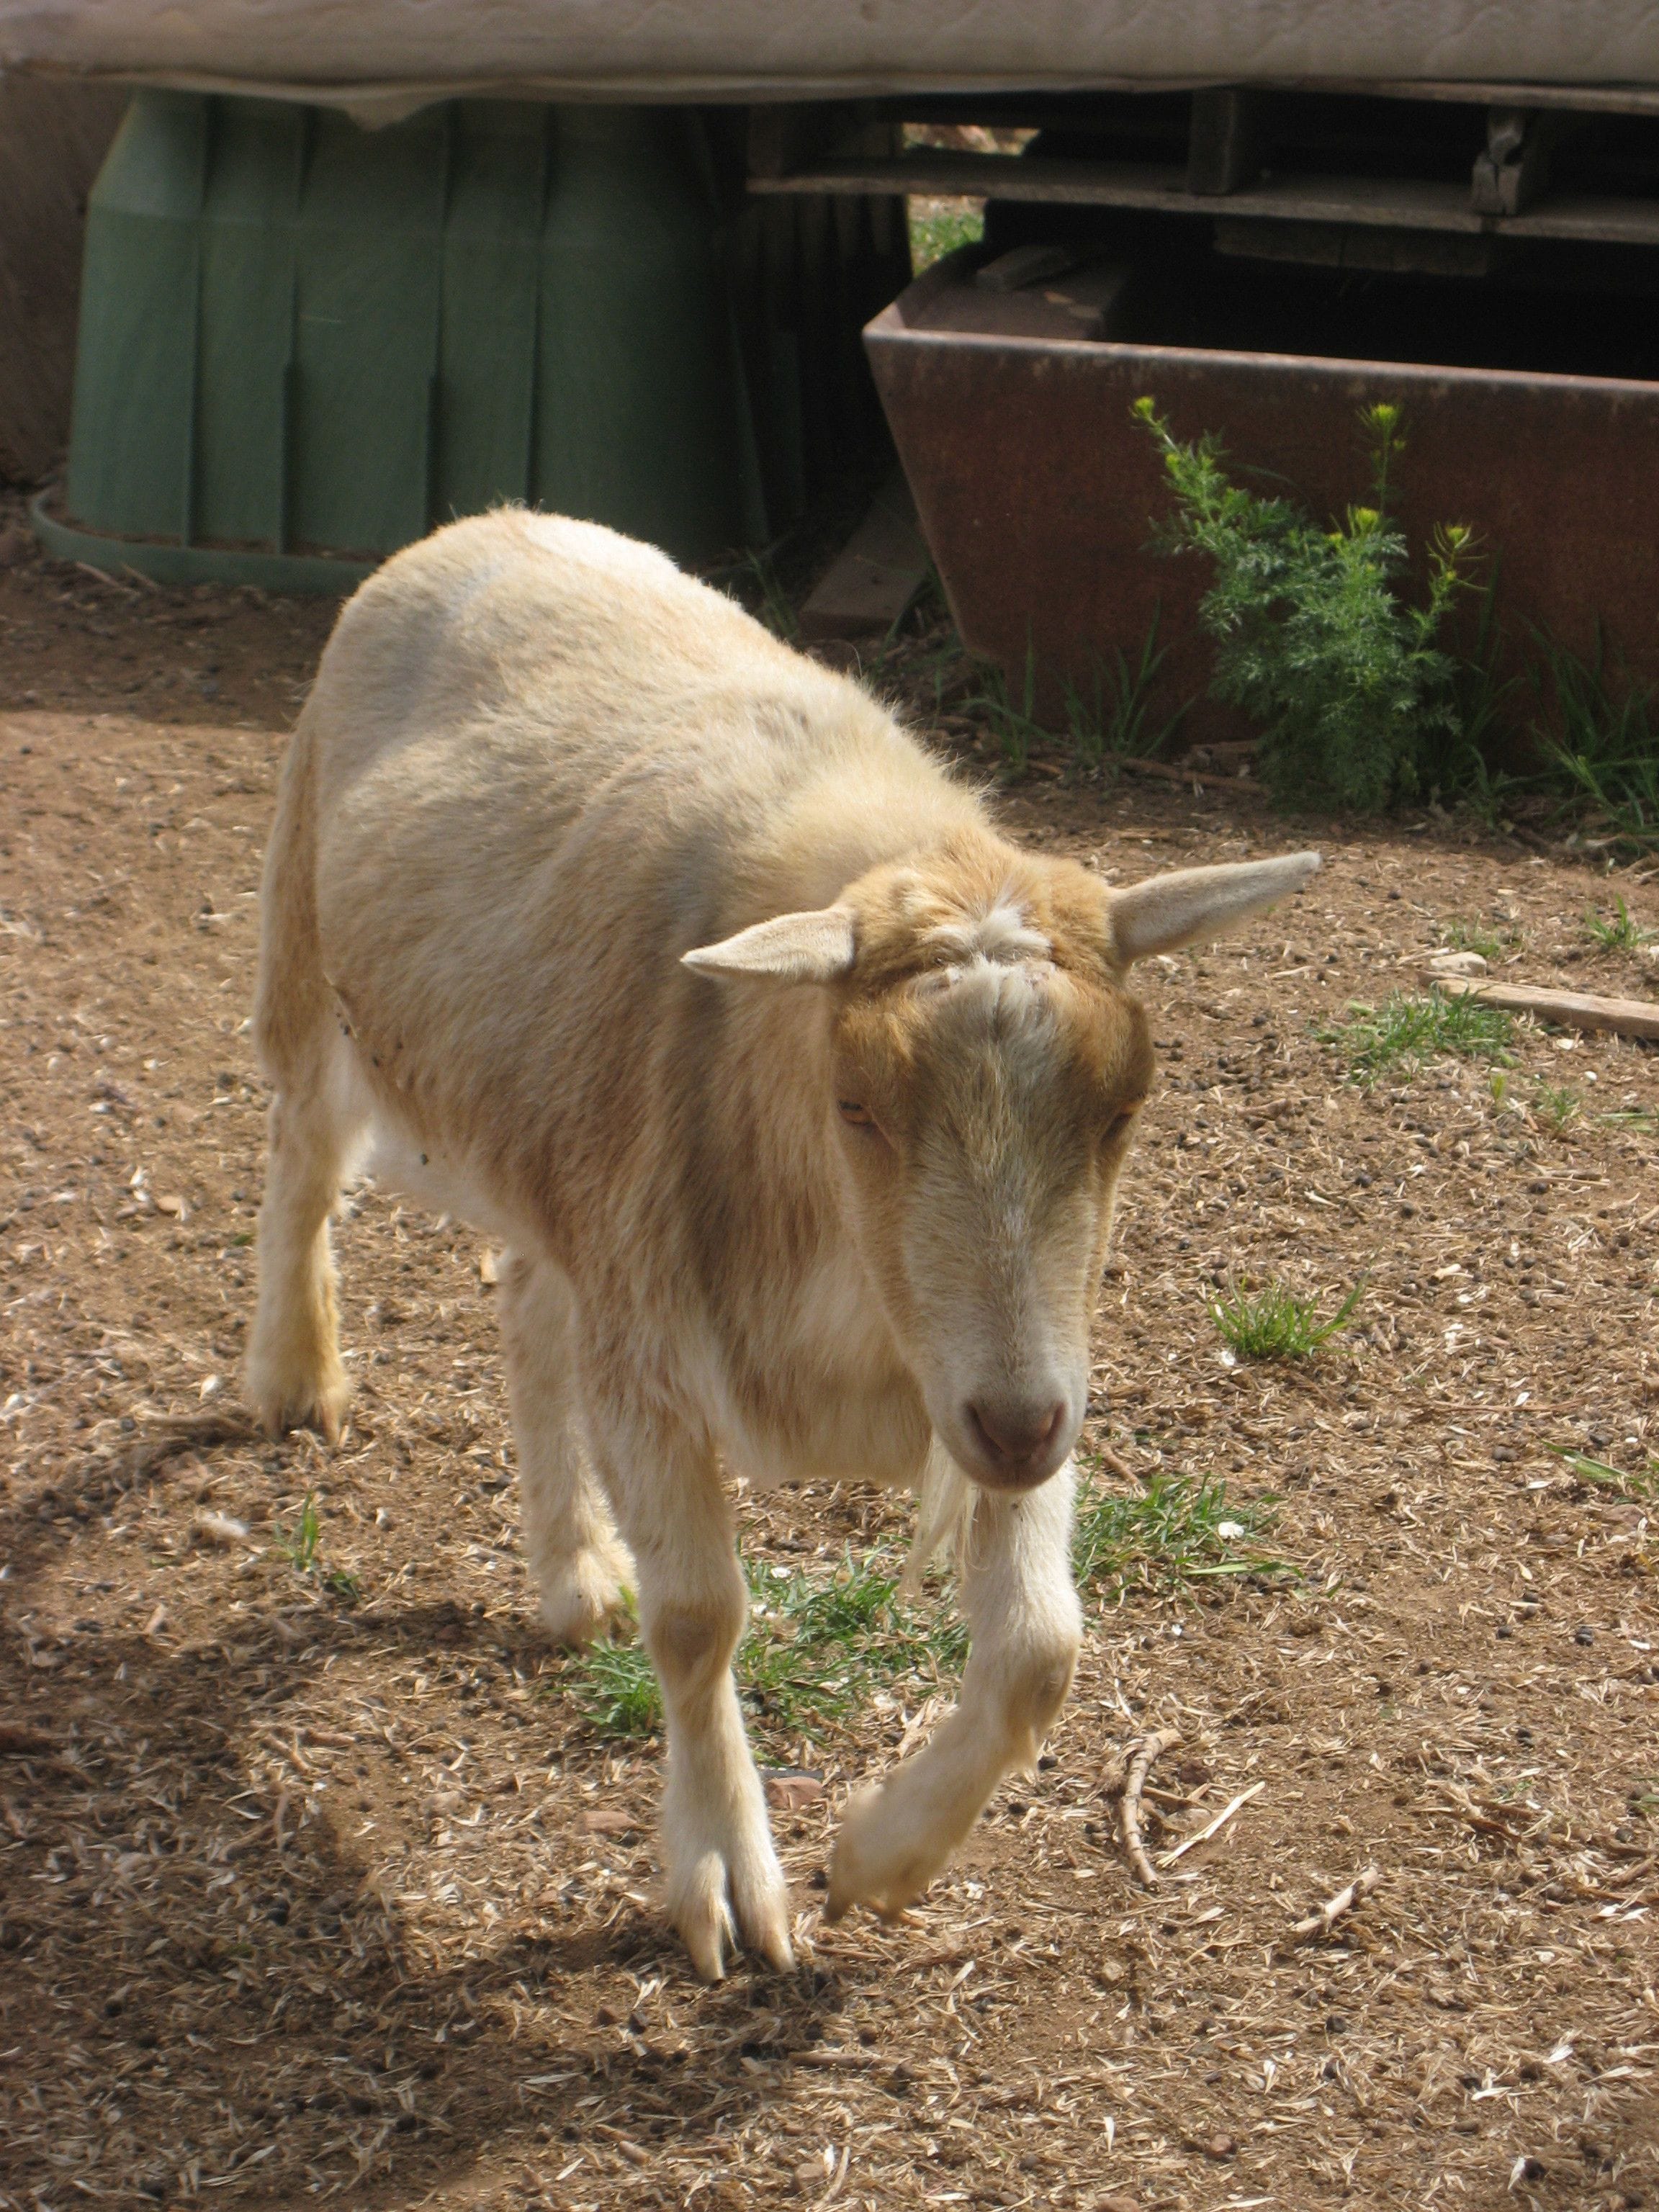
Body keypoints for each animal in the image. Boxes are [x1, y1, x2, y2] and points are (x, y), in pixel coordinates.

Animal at [247, 507, 1318, 1978]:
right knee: (302, 1157)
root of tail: (496, 522)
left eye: (1124, 1110)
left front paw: (879, 1857)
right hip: (307, 947)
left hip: (556, 1166)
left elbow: (1039, 1648)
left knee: (526, 1307)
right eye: (855, 1106)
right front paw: (724, 1877)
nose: (1019, 1429)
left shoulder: (998, 1371)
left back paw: (573, 1570)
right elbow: (701, 1623)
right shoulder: (667, 1352)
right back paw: (296, 1377)